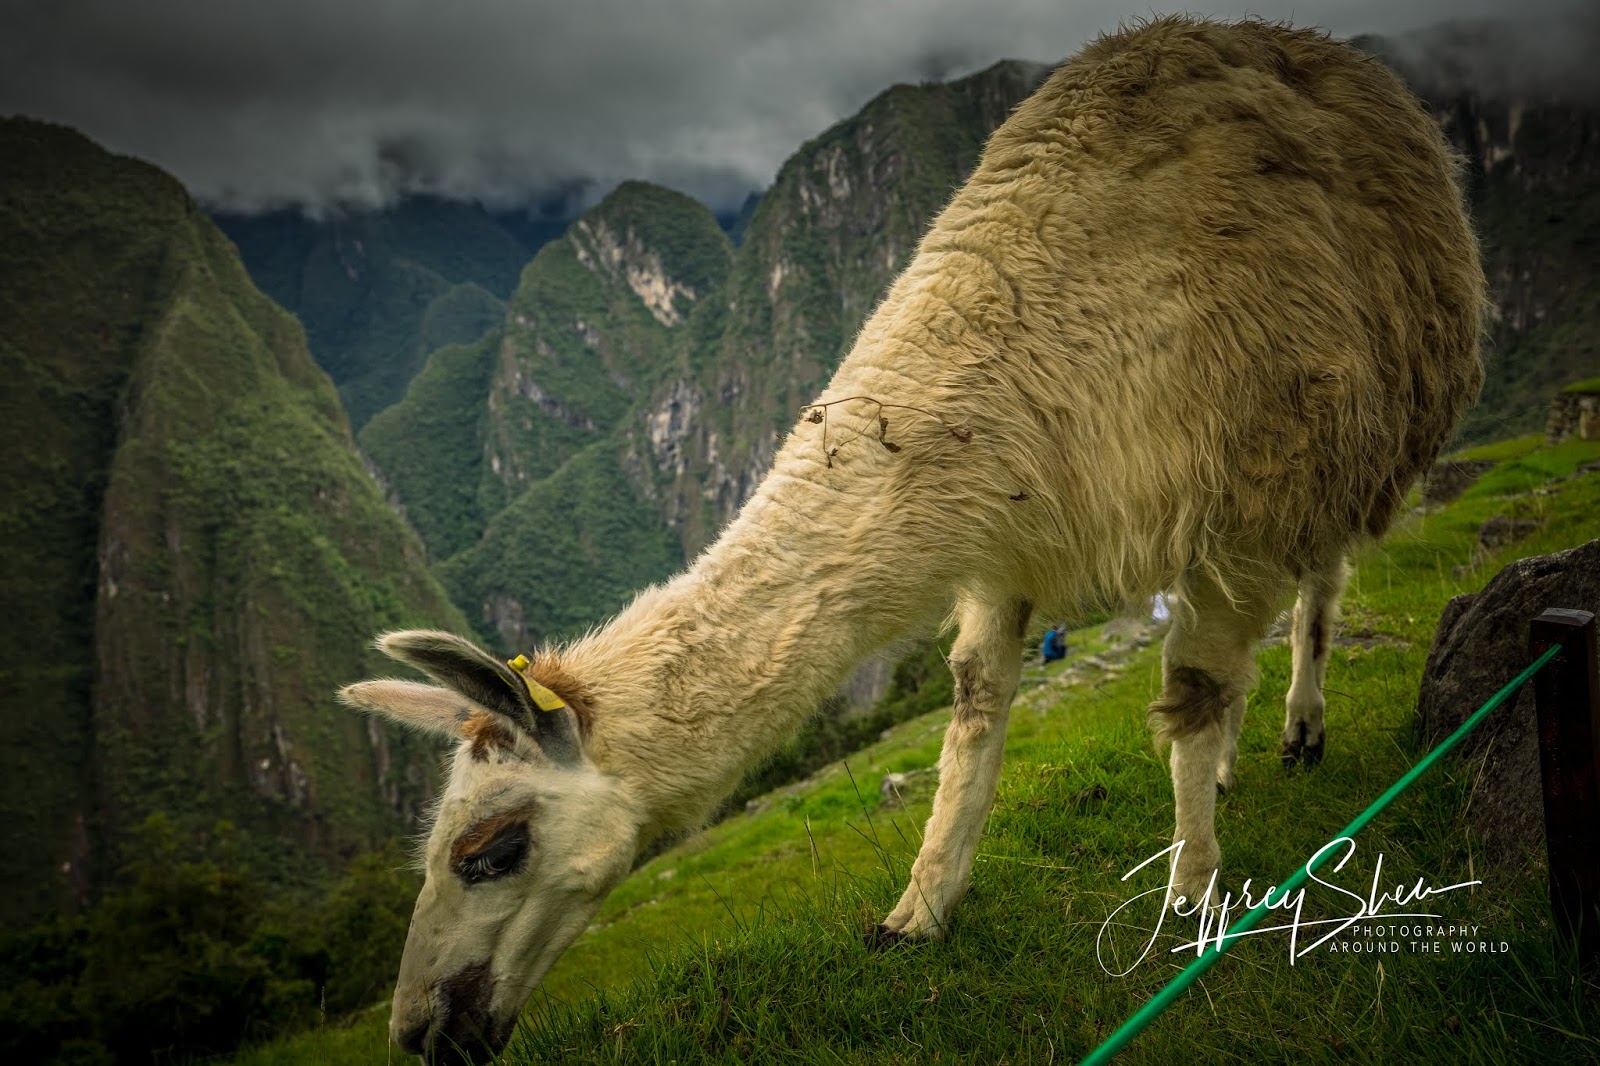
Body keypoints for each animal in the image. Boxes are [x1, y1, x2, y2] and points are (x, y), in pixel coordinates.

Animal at [338, 16, 1484, 1062]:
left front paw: (1192, 898)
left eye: (491, 847)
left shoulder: (1241, 490)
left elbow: (1194, 695)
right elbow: (975, 709)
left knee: (1317, 592)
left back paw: (1297, 731)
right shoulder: (1001, 531)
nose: (416, 1030)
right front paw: (917, 913)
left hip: (1352, 434)